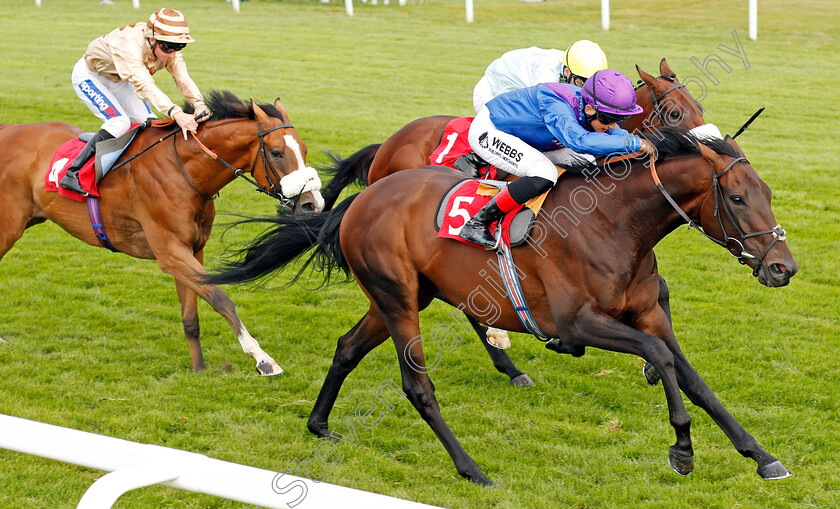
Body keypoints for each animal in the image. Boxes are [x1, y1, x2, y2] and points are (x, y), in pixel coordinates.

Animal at [0, 90, 322, 378]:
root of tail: (8, 129)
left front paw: (199, 368)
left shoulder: (192, 249)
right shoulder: (170, 251)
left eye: (305, 149)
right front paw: (263, 359)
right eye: (276, 153)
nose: (313, 204)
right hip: (8, 226)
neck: (185, 172)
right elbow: (220, 298)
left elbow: (191, 314)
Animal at [213, 128, 796, 484]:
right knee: (416, 385)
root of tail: (364, 199)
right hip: (398, 299)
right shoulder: (578, 324)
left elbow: (692, 376)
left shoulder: (648, 313)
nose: (782, 268)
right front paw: (682, 449)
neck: (614, 223)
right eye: (737, 198)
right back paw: (471, 467)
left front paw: (761, 456)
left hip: (401, 297)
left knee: (347, 348)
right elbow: (661, 357)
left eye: (767, 192)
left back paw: (319, 423)